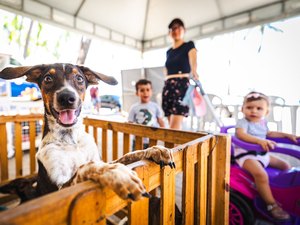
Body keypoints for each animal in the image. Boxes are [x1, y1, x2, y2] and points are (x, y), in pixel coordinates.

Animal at [0, 63, 176, 202]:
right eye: (47, 79)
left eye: (79, 78)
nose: (66, 97)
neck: (71, 139)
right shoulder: (60, 189)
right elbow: (87, 167)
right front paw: (117, 173)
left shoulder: (102, 159)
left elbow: (127, 155)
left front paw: (155, 149)